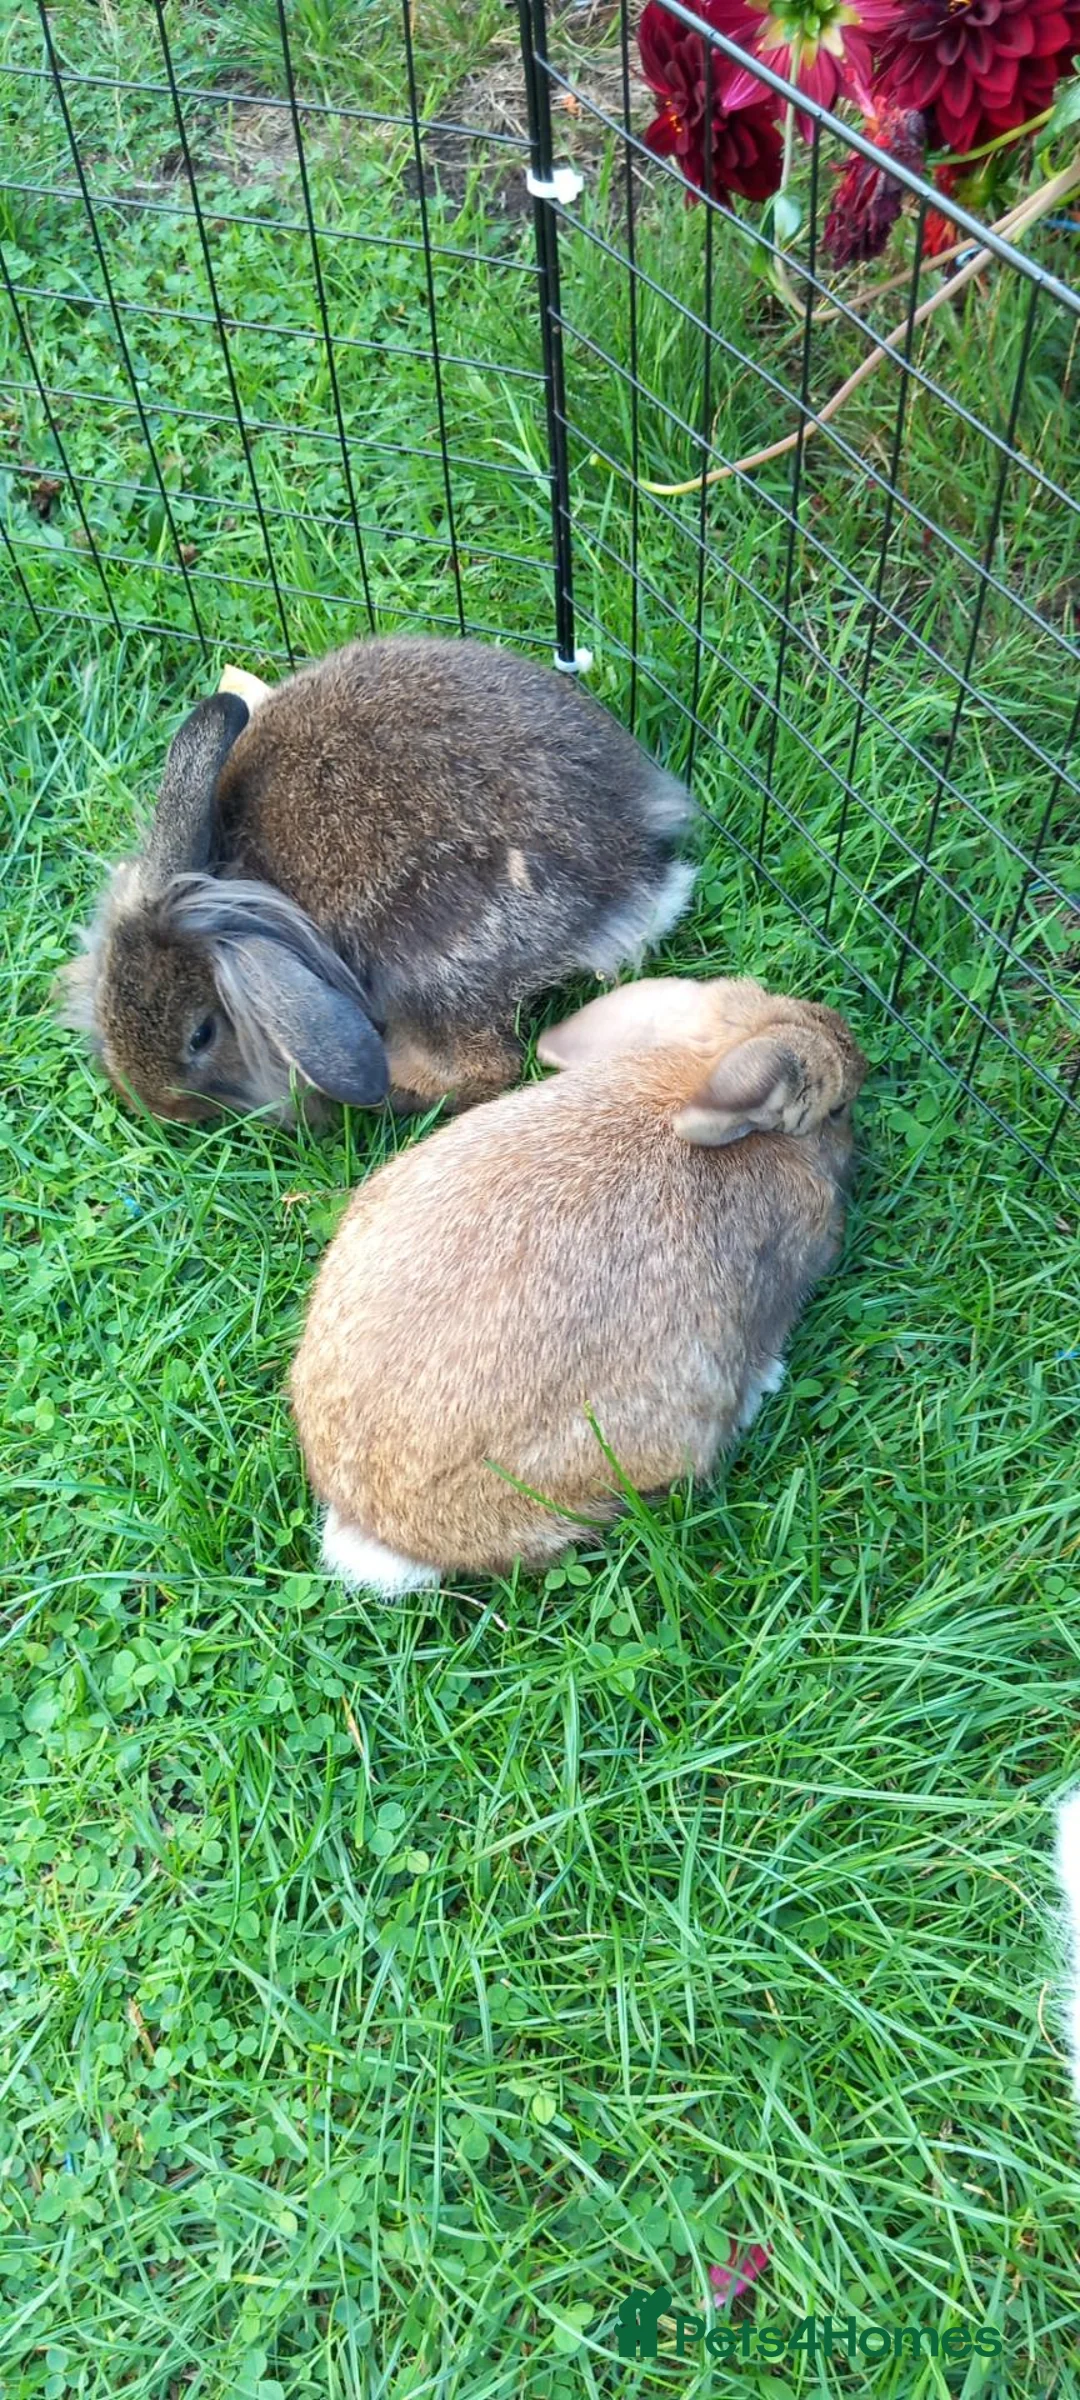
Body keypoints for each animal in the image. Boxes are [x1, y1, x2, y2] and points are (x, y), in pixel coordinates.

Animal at [57, 636, 695, 1125]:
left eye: (202, 1035)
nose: (157, 1108)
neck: (240, 883)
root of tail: (632, 874)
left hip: (431, 967)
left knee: (486, 1066)